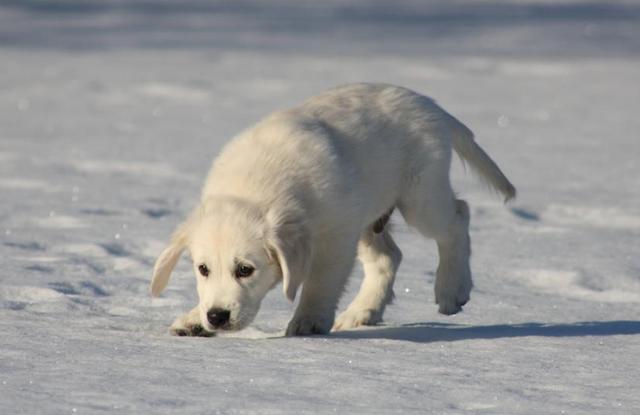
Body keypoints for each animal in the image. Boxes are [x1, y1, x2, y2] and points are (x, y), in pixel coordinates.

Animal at [150, 83, 516, 336]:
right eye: (203, 269)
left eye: (245, 269)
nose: (217, 316)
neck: (257, 189)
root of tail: (428, 103)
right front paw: (194, 320)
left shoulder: (335, 236)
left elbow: (321, 281)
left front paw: (309, 320)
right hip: (368, 216)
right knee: (389, 256)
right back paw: (362, 312)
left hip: (420, 197)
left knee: (458, 217)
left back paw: (452, 290)